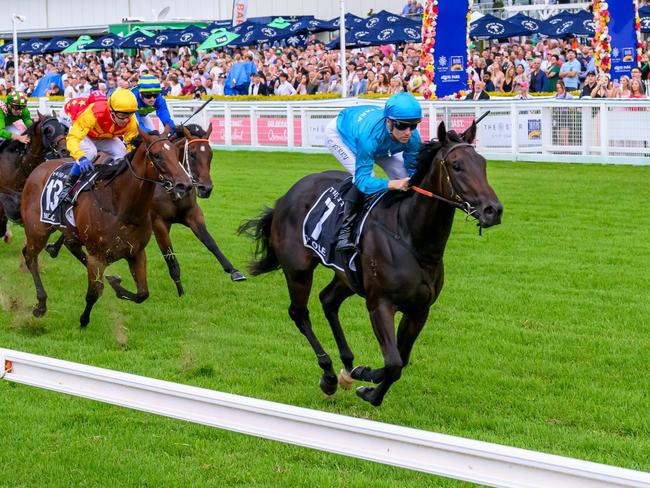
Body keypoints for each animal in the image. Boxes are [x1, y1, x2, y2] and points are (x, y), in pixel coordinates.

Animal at [20, 126, 192, 326]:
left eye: (175, 153)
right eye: (157, 155)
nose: (185, 184)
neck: (121, 207)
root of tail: (38, 169)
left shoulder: (136, 252)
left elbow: (142, 294)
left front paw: (116, 284)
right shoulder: (97, 256)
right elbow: (93, 293)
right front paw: (84, 320)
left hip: (70, 232)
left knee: (70, 246)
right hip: (37, 231)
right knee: (29, 257)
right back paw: (40, 304)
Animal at [240, 122, 504, 408]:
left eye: (482, 163)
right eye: (457, 166)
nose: (493, 210)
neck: (411, 237)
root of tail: (285, 197)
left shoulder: (419, 309)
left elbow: (401, 359)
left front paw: (367, 380)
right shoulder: (380, 304)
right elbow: (393, 363)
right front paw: (369, 384)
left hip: (346, 276)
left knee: (328, 300)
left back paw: (347, 365)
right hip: (298, 271)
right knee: (299, 314)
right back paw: (329, 374)